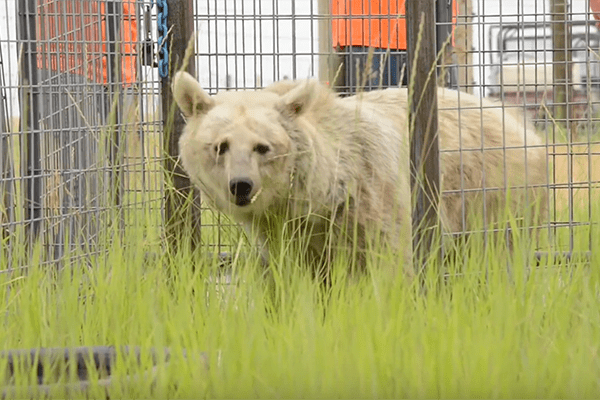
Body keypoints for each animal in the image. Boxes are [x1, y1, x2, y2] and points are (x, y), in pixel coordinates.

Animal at [171, 71, 548, 278]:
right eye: (220, 146)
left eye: (263, 147)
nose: (241, 186)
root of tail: (521, 125)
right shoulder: (288, 234)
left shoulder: (372, 199)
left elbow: (389, 264)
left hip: (492, 193)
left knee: (495, 254)